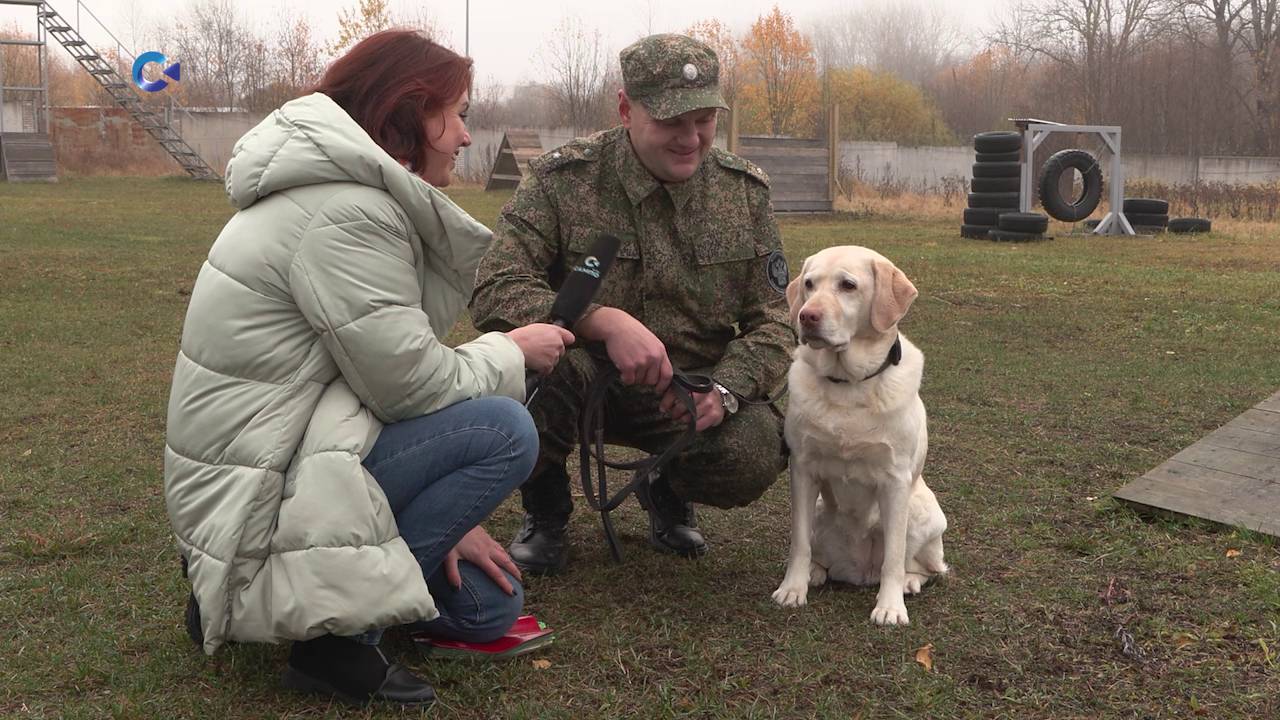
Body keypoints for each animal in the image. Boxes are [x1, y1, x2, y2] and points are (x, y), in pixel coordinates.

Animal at [773, 242, 947, 622]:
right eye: (809, 284)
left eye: (848, 285)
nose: (807, 316)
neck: (848, 384)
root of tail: (859, 572)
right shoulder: (803, 469)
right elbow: (798, 542)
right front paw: (792, 588)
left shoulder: (895, 481)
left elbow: (894, 557)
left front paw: (890, 607)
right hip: (821, 509)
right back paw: (816, 572)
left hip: (922, 511)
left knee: (927, 568)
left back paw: (908, 582)